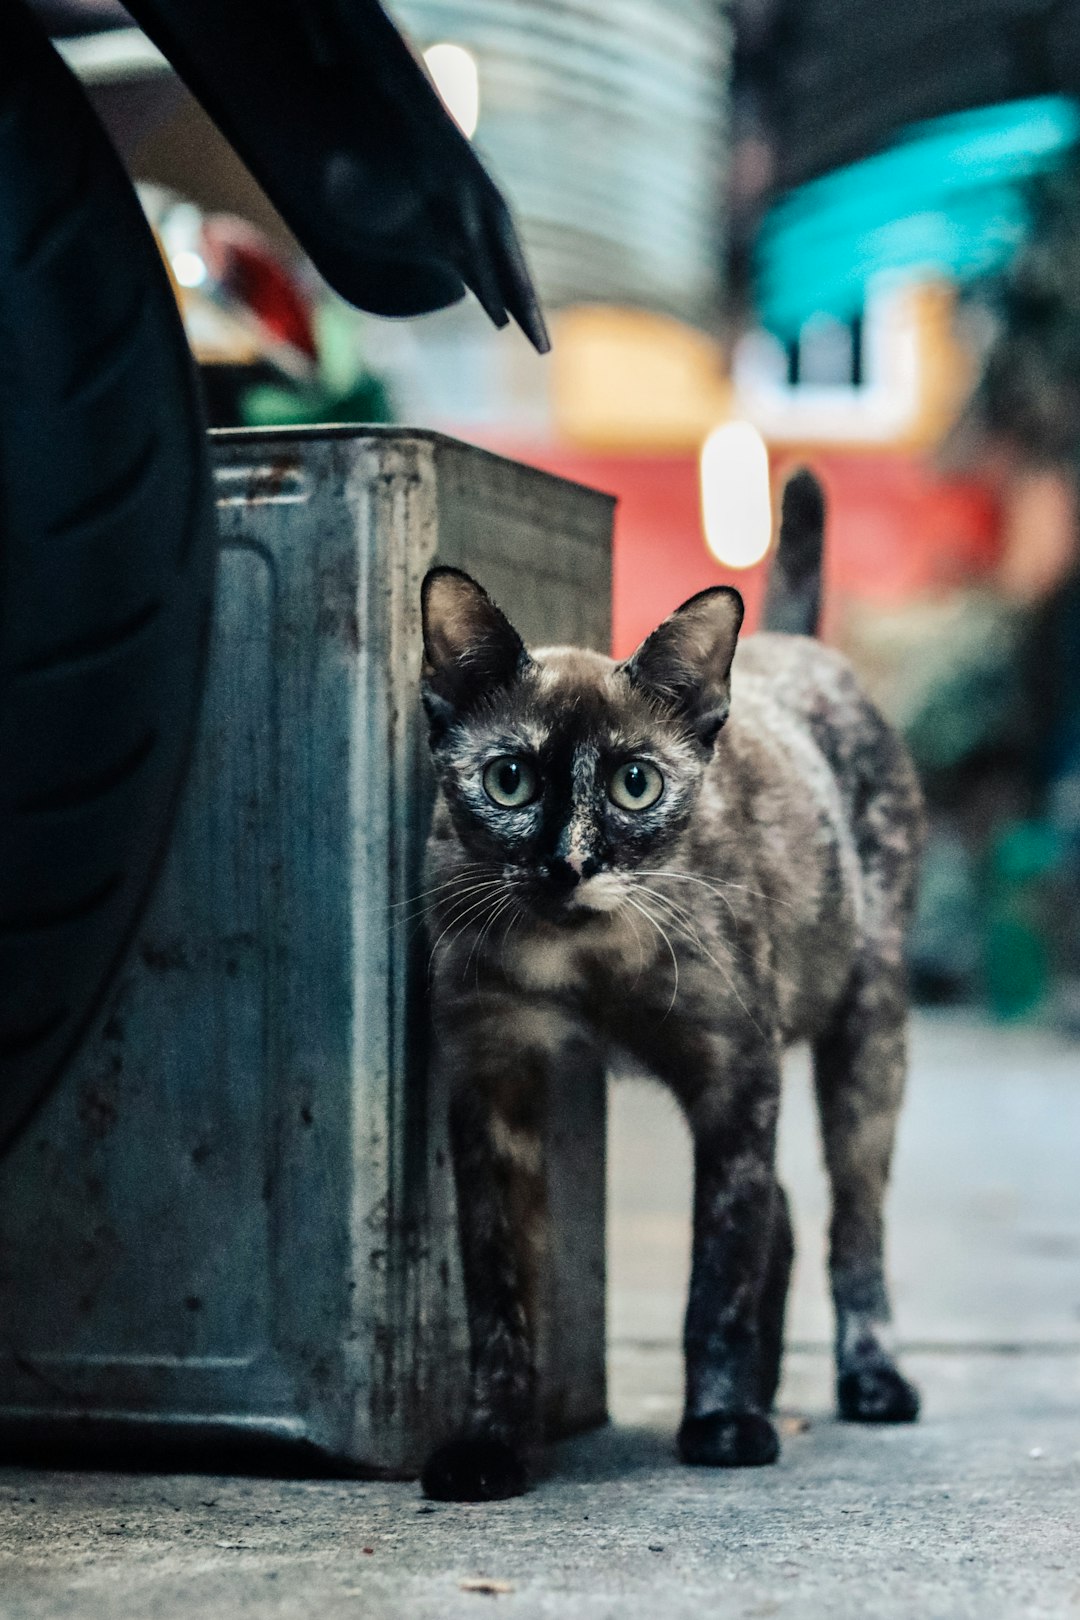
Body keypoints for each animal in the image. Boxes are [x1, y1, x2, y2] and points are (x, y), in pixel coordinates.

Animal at [417, 473, 926, 1503]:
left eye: (637, 784)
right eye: (509, 779)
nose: (568, 864)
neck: (583, 959)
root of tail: (793, 645)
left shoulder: (735, 1070)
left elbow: (718, 1267)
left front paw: (722, 1421)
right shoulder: (492, 1079)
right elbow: (499, 1289)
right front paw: (492, 1443)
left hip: (868, 1034)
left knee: (853, 1223)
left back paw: (868, 1378)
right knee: (784, 1213)